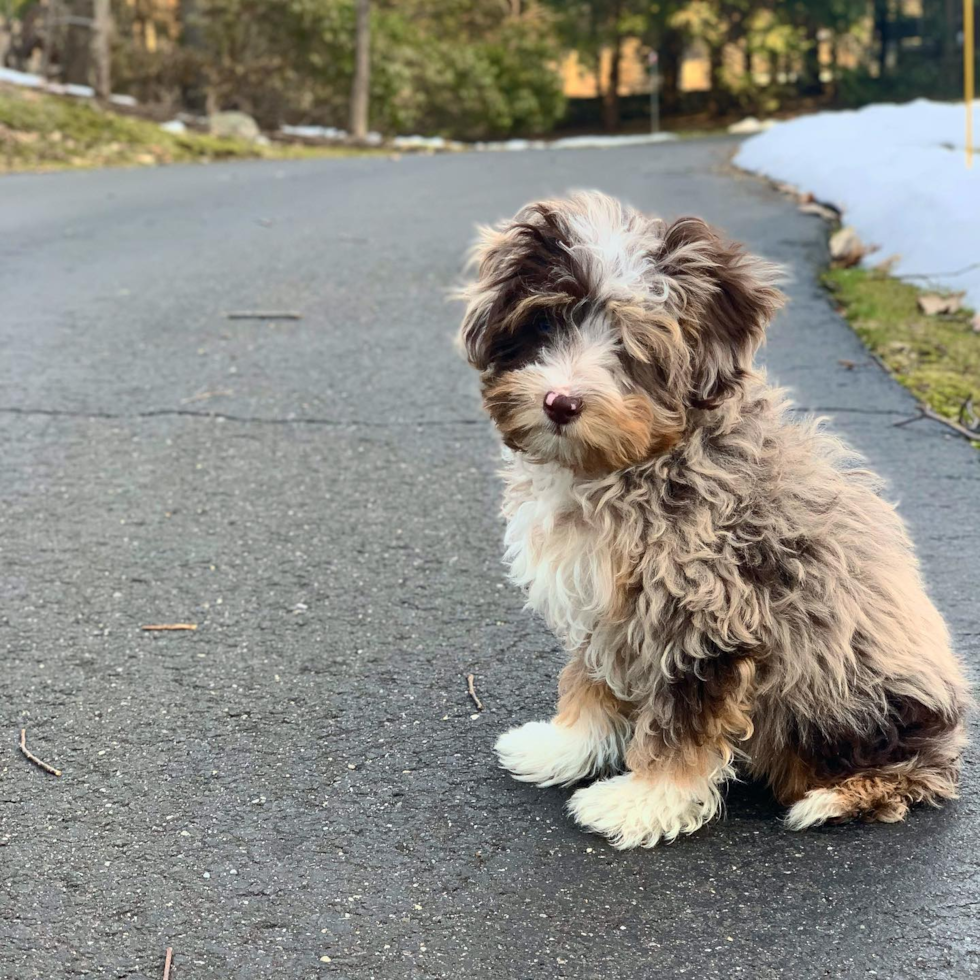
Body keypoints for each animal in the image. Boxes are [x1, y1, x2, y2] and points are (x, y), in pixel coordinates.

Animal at [456, 191, 968, 848]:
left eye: (633, 345)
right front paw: (567, 745)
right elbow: (593, 678)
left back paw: (841, 794)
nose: (560, 402)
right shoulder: (609, 605)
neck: (634, 463)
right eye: (546, 323)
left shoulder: (707, 611)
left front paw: (645, 802)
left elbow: (683, 721)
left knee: (904, 773)